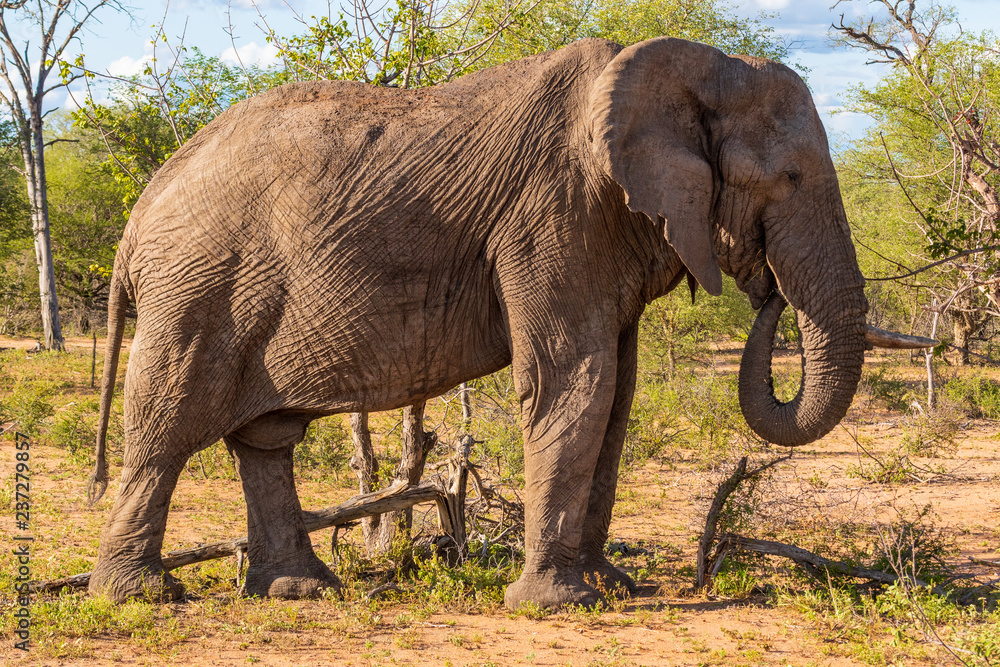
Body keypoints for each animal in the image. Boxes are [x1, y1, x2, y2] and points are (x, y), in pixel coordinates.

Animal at [88, 35, 916, 612]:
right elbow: (573, 382)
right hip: (199, 288)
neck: (685, 69)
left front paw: (611, 586)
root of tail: (139, 210)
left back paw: (301, 589)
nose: (767, 288)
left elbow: (617, 397)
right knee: (165, 424)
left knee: (264, 438)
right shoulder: (552, 215)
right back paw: (143, 596)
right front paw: (558, 603)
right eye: (788, 179)